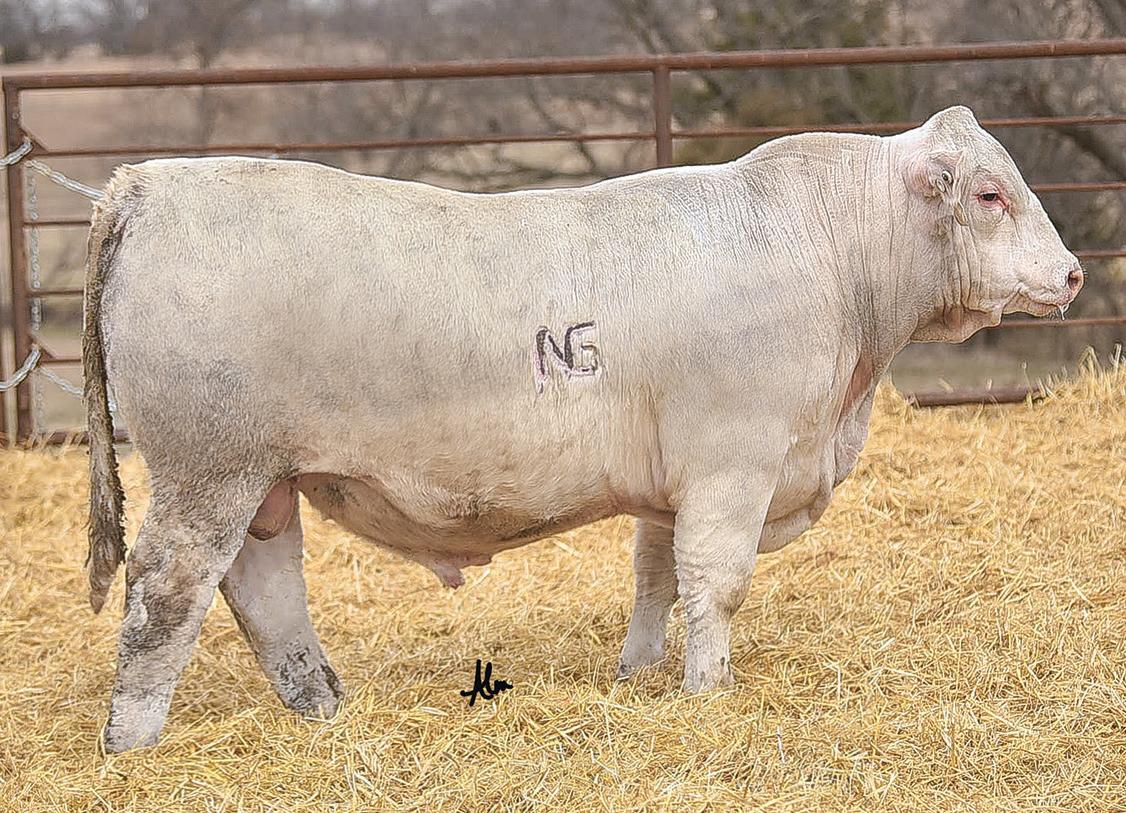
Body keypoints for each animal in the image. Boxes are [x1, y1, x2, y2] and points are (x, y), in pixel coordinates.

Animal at [83, 106, 1083, 752]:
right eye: (989, 195)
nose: (1072, 273)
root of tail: (145, 183)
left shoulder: (674, 480)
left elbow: (655, 574)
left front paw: (639, 675)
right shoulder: (735, 461)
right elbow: (716, 582)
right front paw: (710, 690)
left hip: (264, 481)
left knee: (262, 586)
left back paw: (321, 705)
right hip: (209, 468)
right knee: (166, 591)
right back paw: (132, 743)